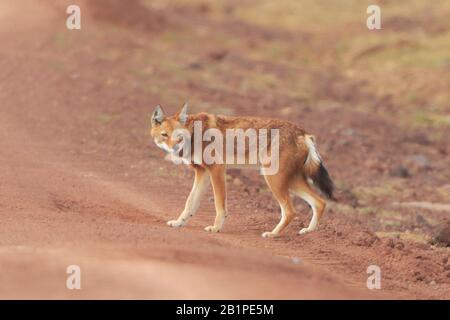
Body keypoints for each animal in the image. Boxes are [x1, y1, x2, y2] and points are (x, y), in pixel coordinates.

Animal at [150, 103, 334, 238]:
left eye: (179, 136)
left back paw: (273, 234)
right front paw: (178, 223)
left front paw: (216, 228)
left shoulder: (217, 170)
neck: (195, 133)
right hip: (290, 182)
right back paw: (308, 232)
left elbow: (219, 205)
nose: (174, 148)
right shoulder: (202, 173)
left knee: (290, 211)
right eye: (165, 135)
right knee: (320, 202)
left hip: (274, 179)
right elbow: (190, 203)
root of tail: (304, 133)